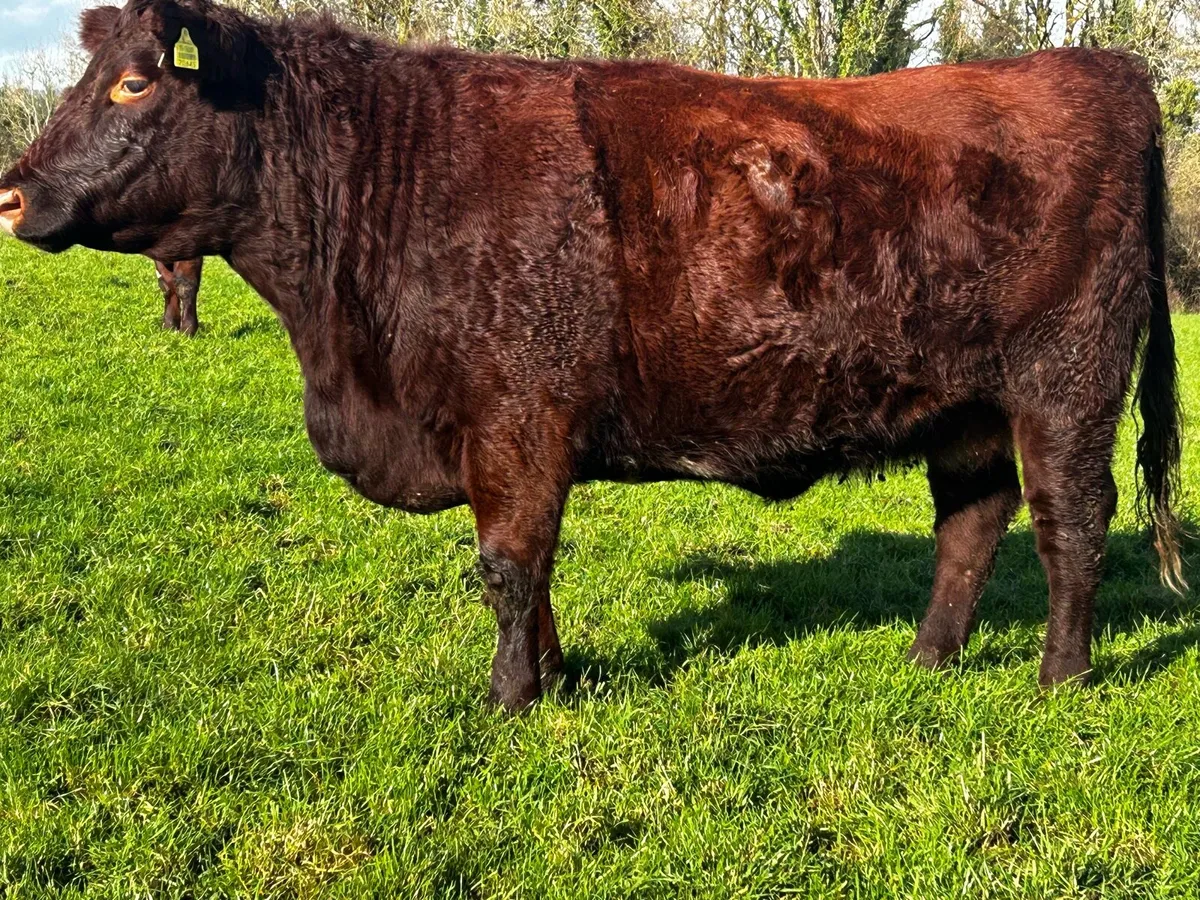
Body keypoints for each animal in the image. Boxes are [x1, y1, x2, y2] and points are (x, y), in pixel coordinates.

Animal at [0, 0, 1185, 713]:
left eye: (134, 84)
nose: (11, 192)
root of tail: (1104, 68)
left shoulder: (517, 424)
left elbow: (510, 565)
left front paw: (510, 701)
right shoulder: (507, 442)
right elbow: (528, 572)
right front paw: (558, 680)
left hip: (1067, 386)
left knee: (1072, 523)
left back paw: (1062, 678)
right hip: (966, 405)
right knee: (973, 522)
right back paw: (928, 656)